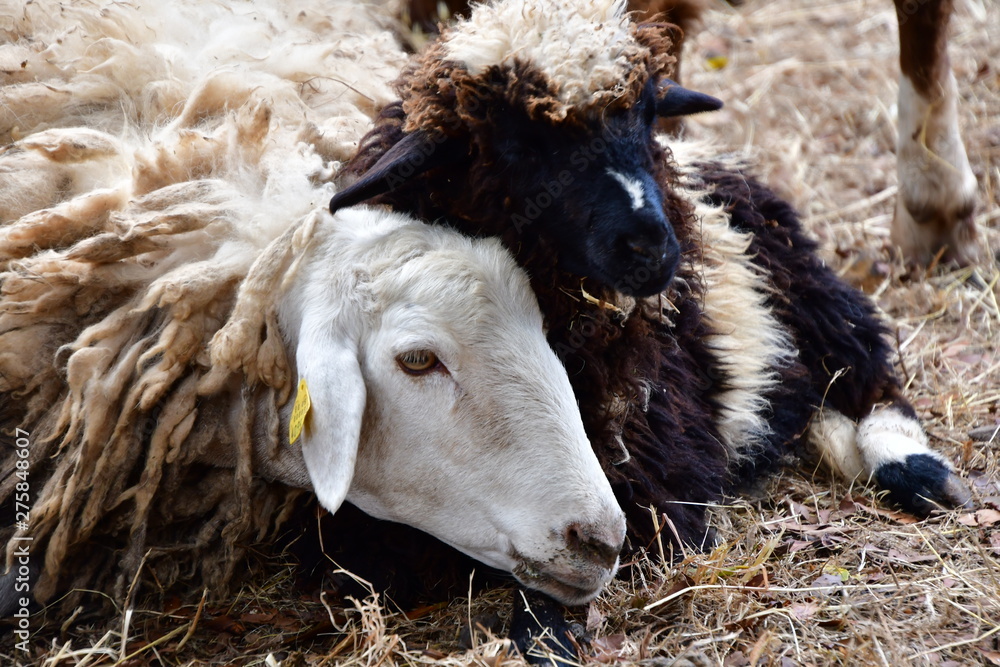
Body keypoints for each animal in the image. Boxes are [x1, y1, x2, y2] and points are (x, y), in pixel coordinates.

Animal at [330, 0, 976, 564]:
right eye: (518, 142)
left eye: (643, 114)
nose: (653, 244)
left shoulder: (655, 473)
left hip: (809, 292)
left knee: (867, 373)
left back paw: (916, 470)